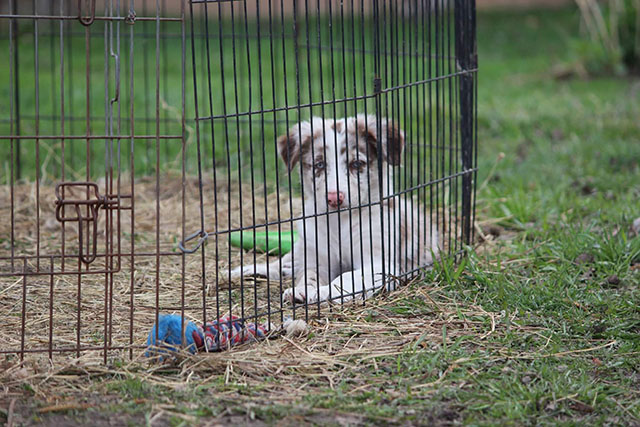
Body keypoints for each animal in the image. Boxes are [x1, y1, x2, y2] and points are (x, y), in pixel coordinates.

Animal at [231, 114, 440, 304]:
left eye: (356, 164)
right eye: (319, 164)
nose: (333, 198)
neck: (340, 221)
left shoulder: (380, 263)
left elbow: (346, 278)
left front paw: (324, 292)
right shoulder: (318, 256)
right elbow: (309, 275)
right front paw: (302, 289)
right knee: (284, 262)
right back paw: (244, 271)